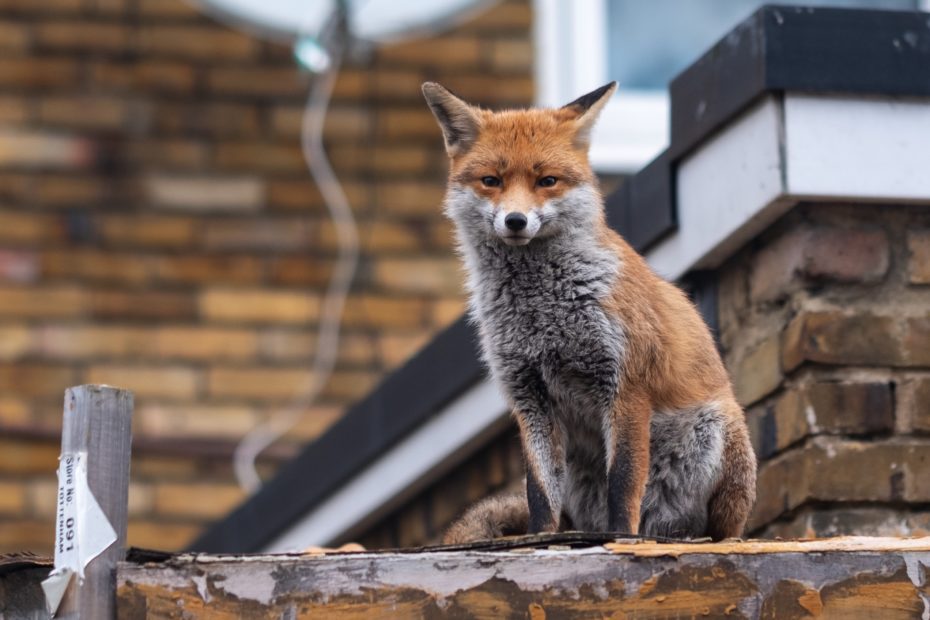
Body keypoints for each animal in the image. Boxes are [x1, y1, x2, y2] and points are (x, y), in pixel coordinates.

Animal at [424, 81, 756, 544]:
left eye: (547, 181)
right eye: (491, 181)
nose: (515, 220)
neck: (543, 314)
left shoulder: (626, 385)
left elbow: (624, 481)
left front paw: (621, 539)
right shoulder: (529, 397)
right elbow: (539, 494)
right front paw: (539, 540)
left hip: (718, 430)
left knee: (718, 526)